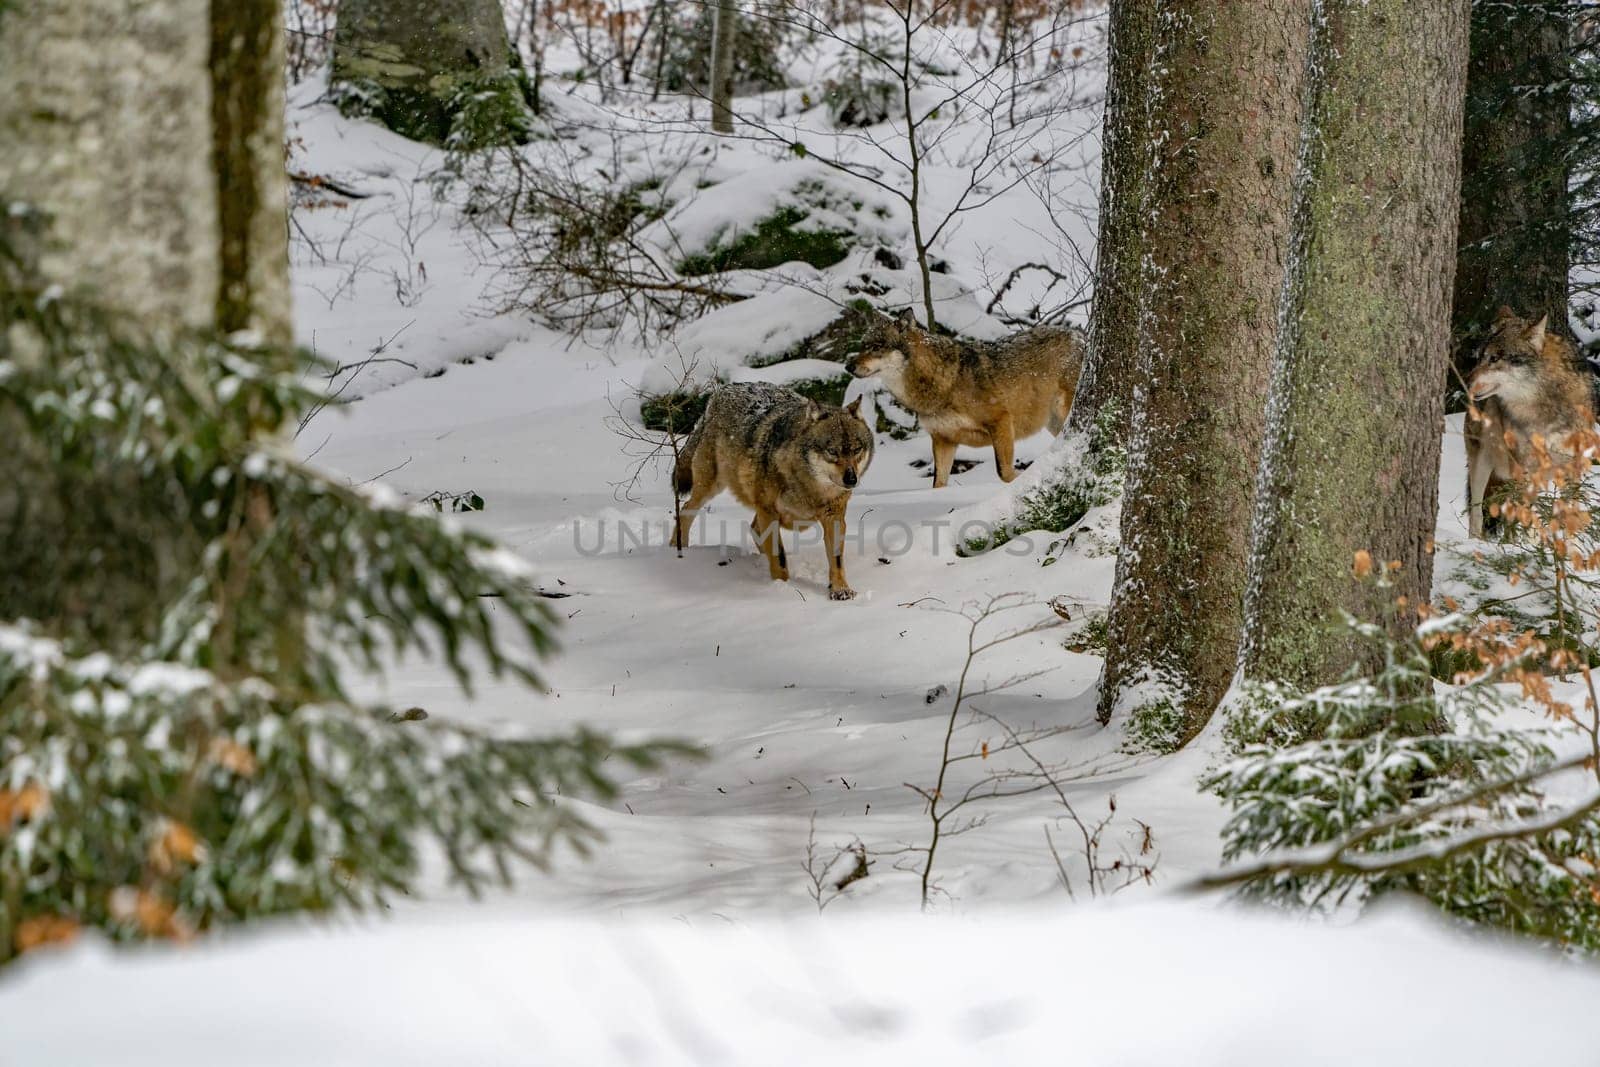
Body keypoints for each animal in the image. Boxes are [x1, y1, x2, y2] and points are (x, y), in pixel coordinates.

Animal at [675, 383, 876, 601]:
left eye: (856, 450)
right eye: (832, 451)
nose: (851, 479)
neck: (809, 489)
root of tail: (720, 392)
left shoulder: (834, 516)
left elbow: (836, 559)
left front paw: (840, 590)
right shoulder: (769, 512)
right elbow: (779, 559)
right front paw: (782, 591)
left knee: (753, 528)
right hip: (710, 487)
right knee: (685, 510)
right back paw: (678, 552)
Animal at [844, 310, 1081, 489]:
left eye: (876, 347)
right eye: (863, 345)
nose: (848, 366)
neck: (944, 383)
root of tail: (1081, 335)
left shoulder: (1001, 421)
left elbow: (1004, 472)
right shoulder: (943, 440)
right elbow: (938, 484)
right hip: (1055, 424)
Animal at [1465, 308, 1593, 543]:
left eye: (1494, 358)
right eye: (1479, 357)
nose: (1466, 382)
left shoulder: (1572, 466)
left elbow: (1568, 516)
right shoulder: (1523, 466)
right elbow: (1523, 514)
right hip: (1482, 464)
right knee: (1477, 513)